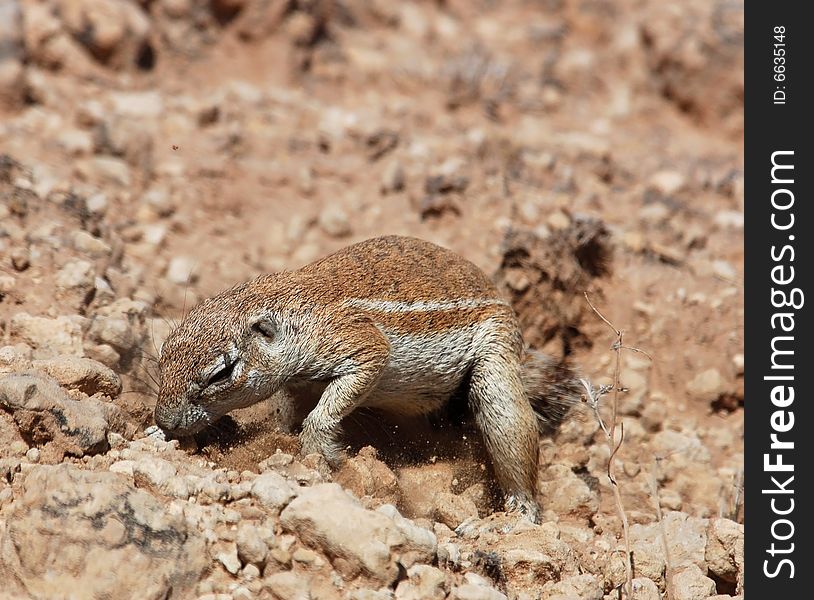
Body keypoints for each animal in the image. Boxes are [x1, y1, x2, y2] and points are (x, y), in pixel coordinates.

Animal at [155, 233, 588, 520]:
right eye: (164, 351)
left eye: (221, 373)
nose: (164, 420)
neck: (292, 305)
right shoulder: (297, 383)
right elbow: (289, 411)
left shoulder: (359, 344)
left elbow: (332, 403)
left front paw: (320, 453)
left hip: (496, 360)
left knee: (508, 424)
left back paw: (520, 511)